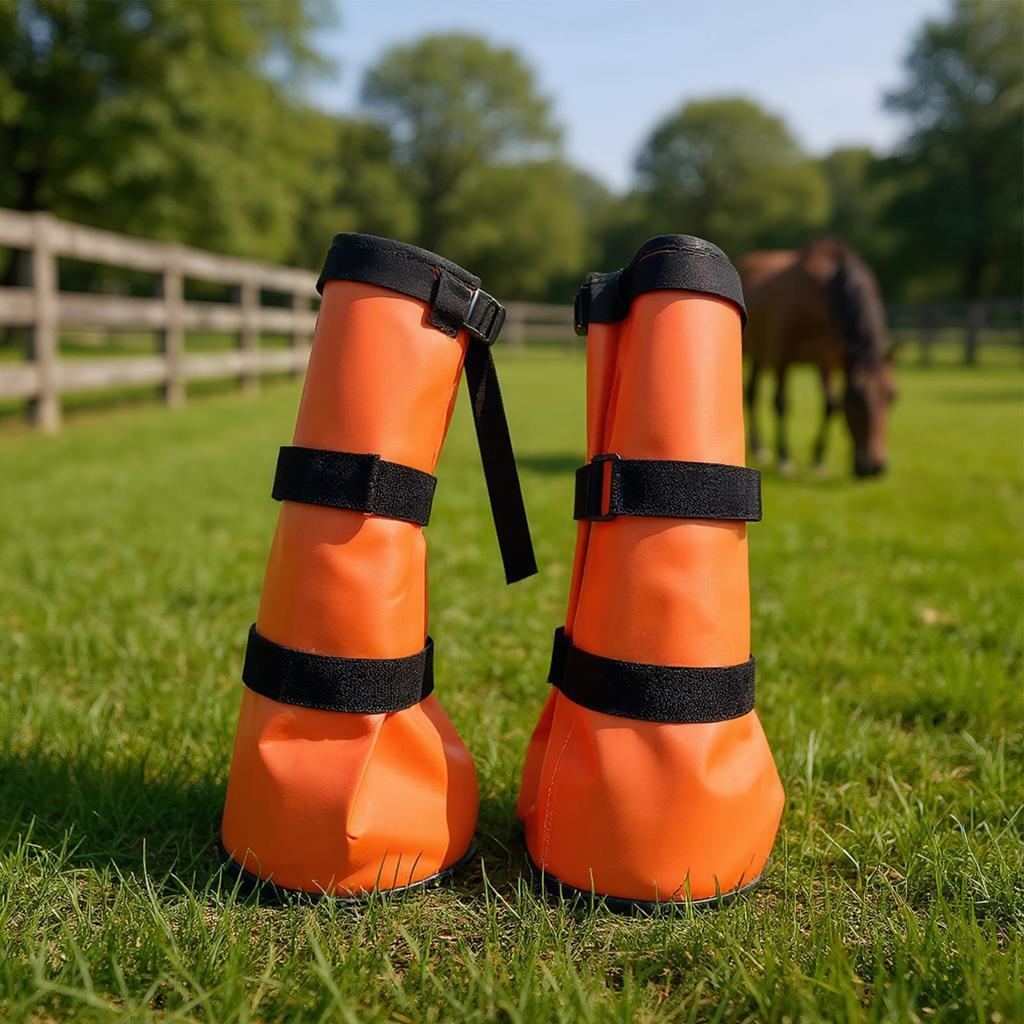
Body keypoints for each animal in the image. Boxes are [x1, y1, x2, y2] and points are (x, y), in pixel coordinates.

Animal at [739, 237, 896, 477]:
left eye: (893, 396)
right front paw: (785, 459)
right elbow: (781, 403)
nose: (875, 467)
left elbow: (831, 405)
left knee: (752, 392)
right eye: (857, 400)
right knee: (752, 394)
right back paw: (761, 449)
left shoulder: (828, 361)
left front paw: (819, 460)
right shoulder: (782, 357)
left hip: (761, 356)